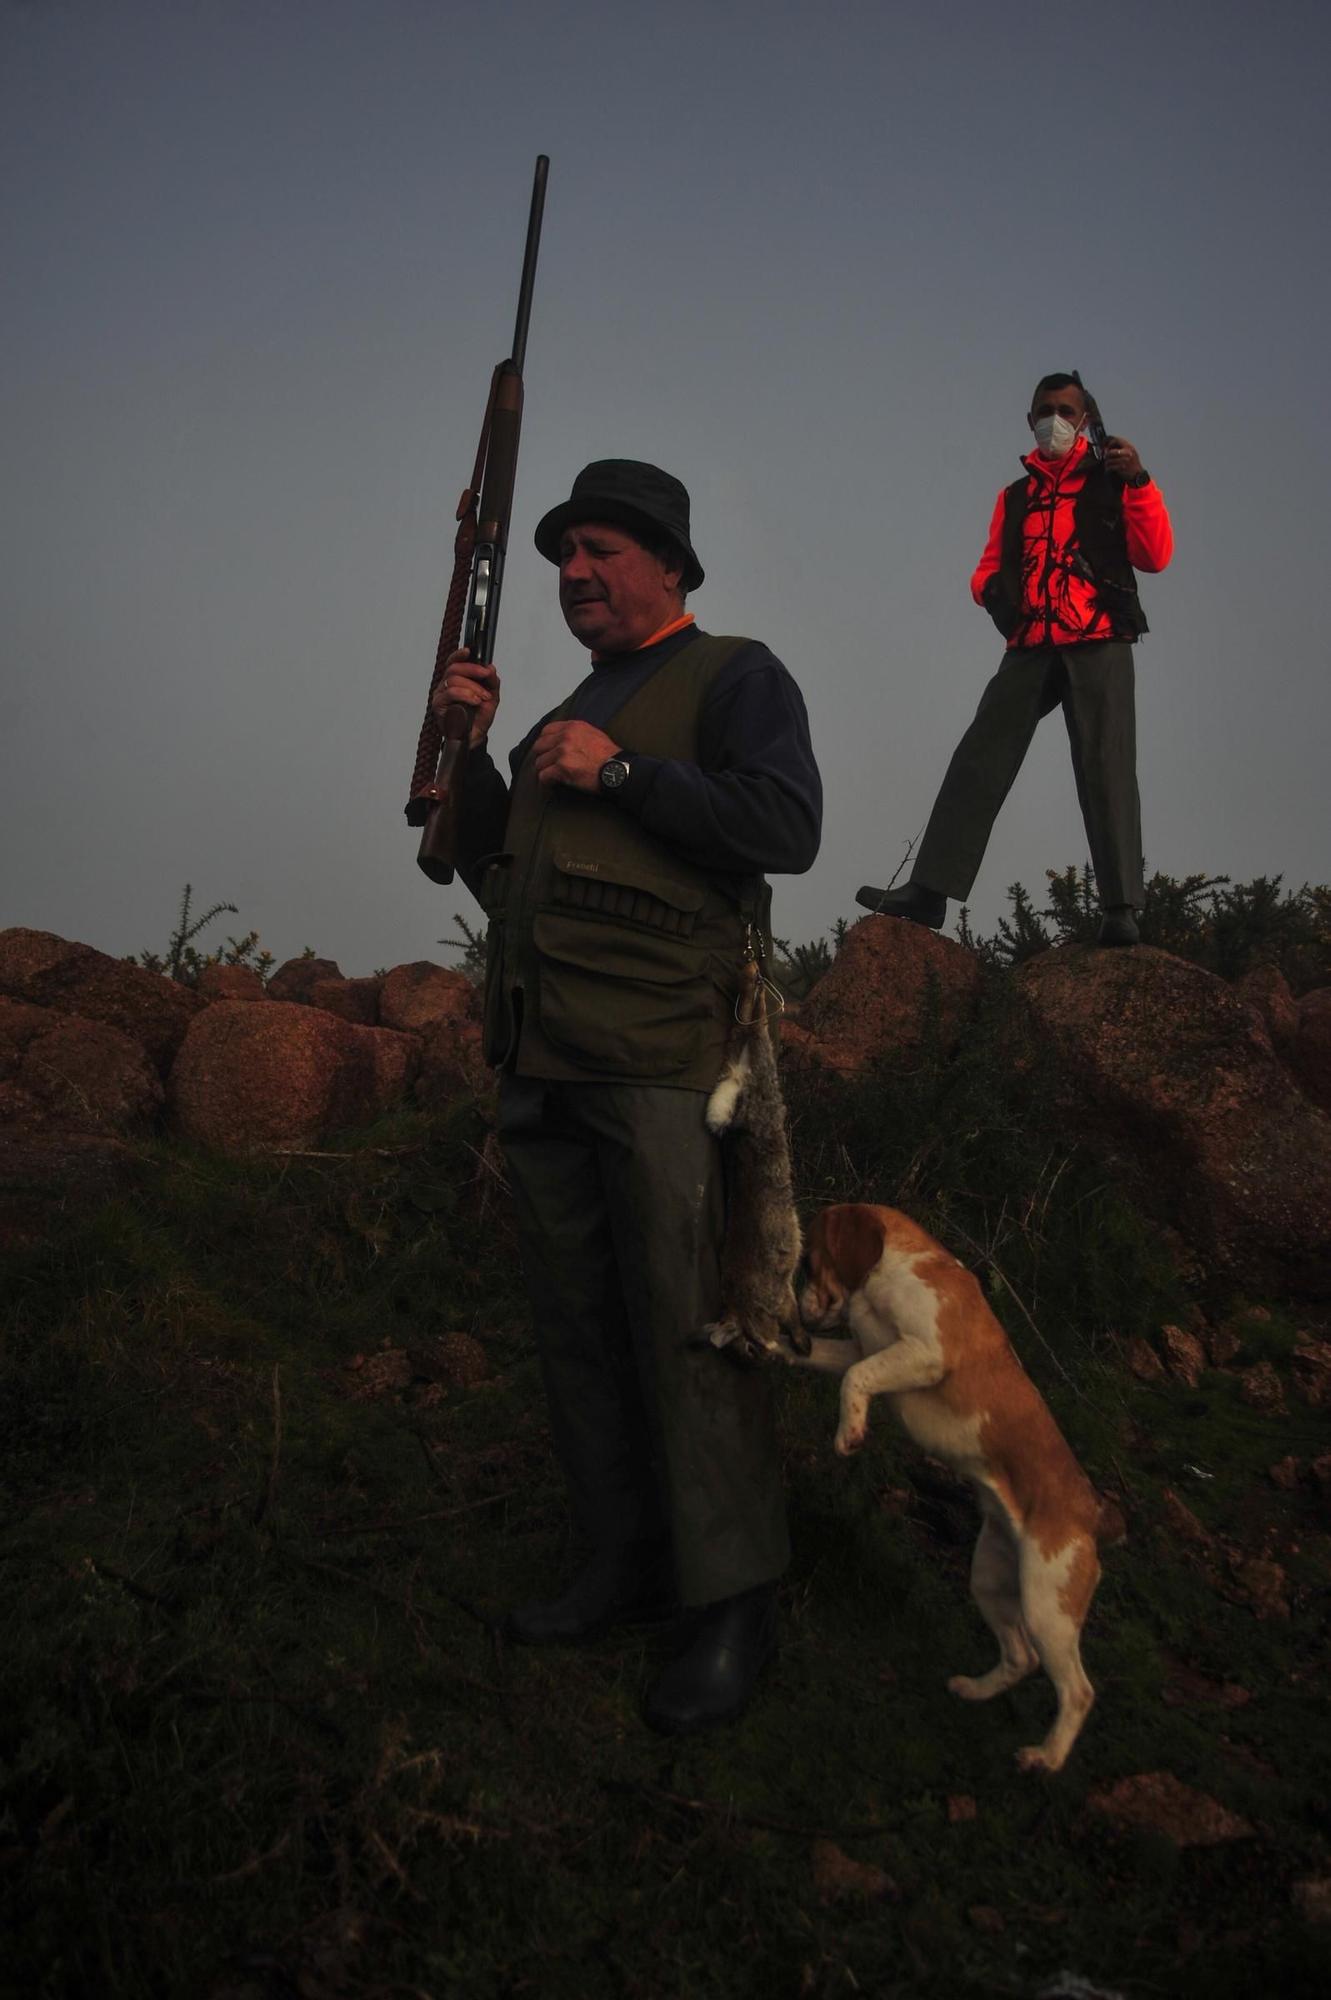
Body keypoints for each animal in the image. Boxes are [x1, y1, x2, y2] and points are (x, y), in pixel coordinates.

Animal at [787, 1200, 1119, 1768]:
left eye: (810, 1260)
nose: (799, 1307)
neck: (896, 1266)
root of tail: (1092, 1514)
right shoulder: (859, 1347)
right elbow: (834, 1362)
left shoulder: (923, 1352)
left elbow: (858, 1379)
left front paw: (850, 1431)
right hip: (990, 1579)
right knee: (1020, 1658)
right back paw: (975, 1691)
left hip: (1047, 1606)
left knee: (1078, 1691)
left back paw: (1046, 1758)